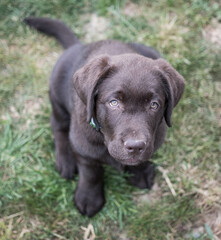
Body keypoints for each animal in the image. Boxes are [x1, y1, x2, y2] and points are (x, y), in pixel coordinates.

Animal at [23, 17, 185, 218]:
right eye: (114, 103)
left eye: (154, 105)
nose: (135, 146)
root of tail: (79, 46)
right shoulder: (83, 147)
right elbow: (91, 172)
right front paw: (89, 198)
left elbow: (141, 160)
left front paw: (140, 172)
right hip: (56, 96)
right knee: (58, 125)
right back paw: (65, 160)